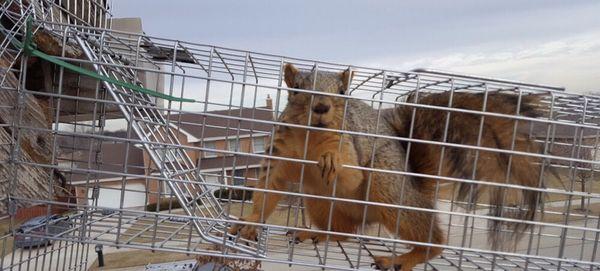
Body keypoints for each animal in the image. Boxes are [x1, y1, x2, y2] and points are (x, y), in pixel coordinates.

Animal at [227, 63, 548, 270]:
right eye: (296, 90)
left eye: (342, 90)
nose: (321, 107)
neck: (311, 137)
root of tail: (414, 181)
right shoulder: (279, 155)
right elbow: (268, 190)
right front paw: (250, 223)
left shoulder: (351, 144)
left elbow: (353, 176)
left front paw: (332, 160)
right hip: (317, 199)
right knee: (344, 231)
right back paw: (317, 233)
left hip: (387, 186)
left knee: (431, 239)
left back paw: (403, 258)